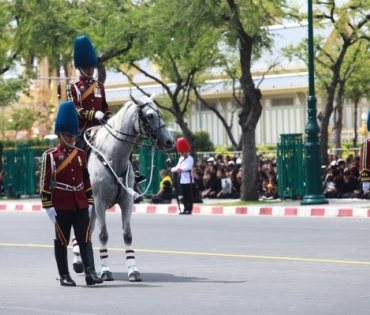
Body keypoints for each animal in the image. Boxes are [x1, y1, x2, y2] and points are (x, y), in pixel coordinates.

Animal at [73, 94, 175, 282]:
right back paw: (78, 262)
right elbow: (103, 234)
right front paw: (106, 271)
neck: (111, 158)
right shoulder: (99, 202)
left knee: (87, 230)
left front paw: (133, 270)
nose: (169, 141)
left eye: (160, 114)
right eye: (150, 115)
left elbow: (127, 235)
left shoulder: (127, 200)